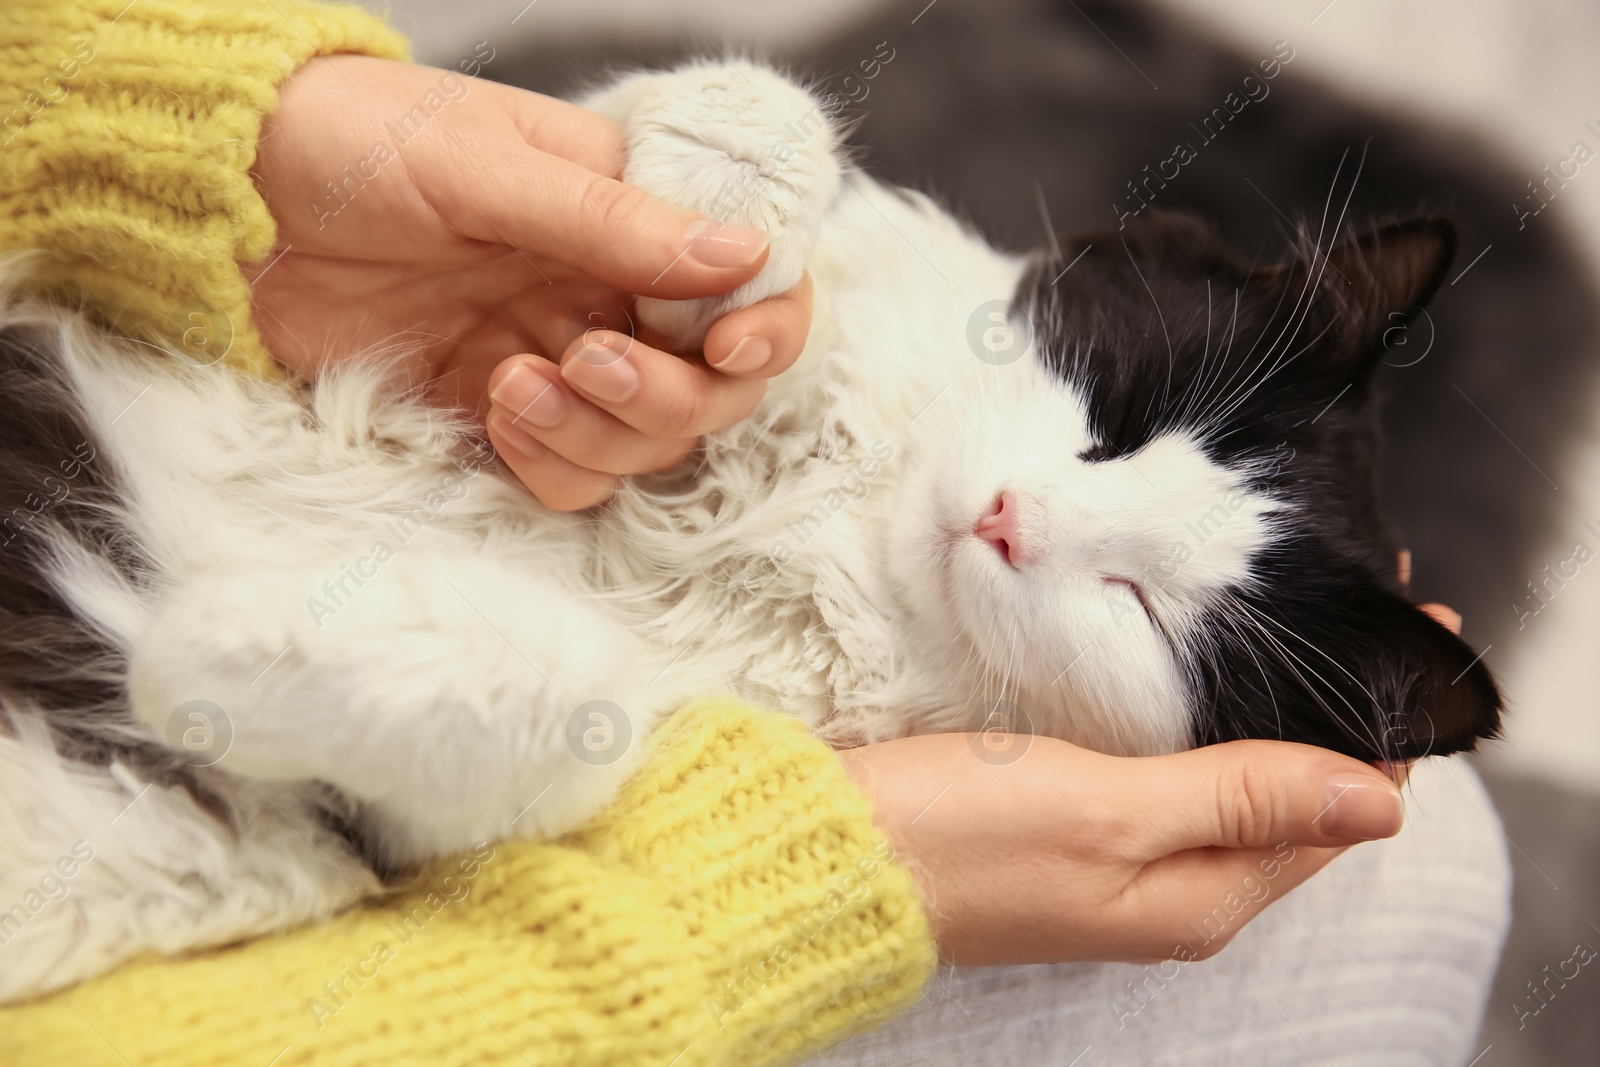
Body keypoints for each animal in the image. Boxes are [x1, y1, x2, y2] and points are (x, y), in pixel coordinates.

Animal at [0, 62, 1497, 1004]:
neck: (836, 527)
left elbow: (557, 690)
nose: (1009, 518)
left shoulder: (400, 825)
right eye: (1116, 418)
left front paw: (222, 634)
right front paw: (704, 213)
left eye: (1136, 599)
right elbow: (747, 115)